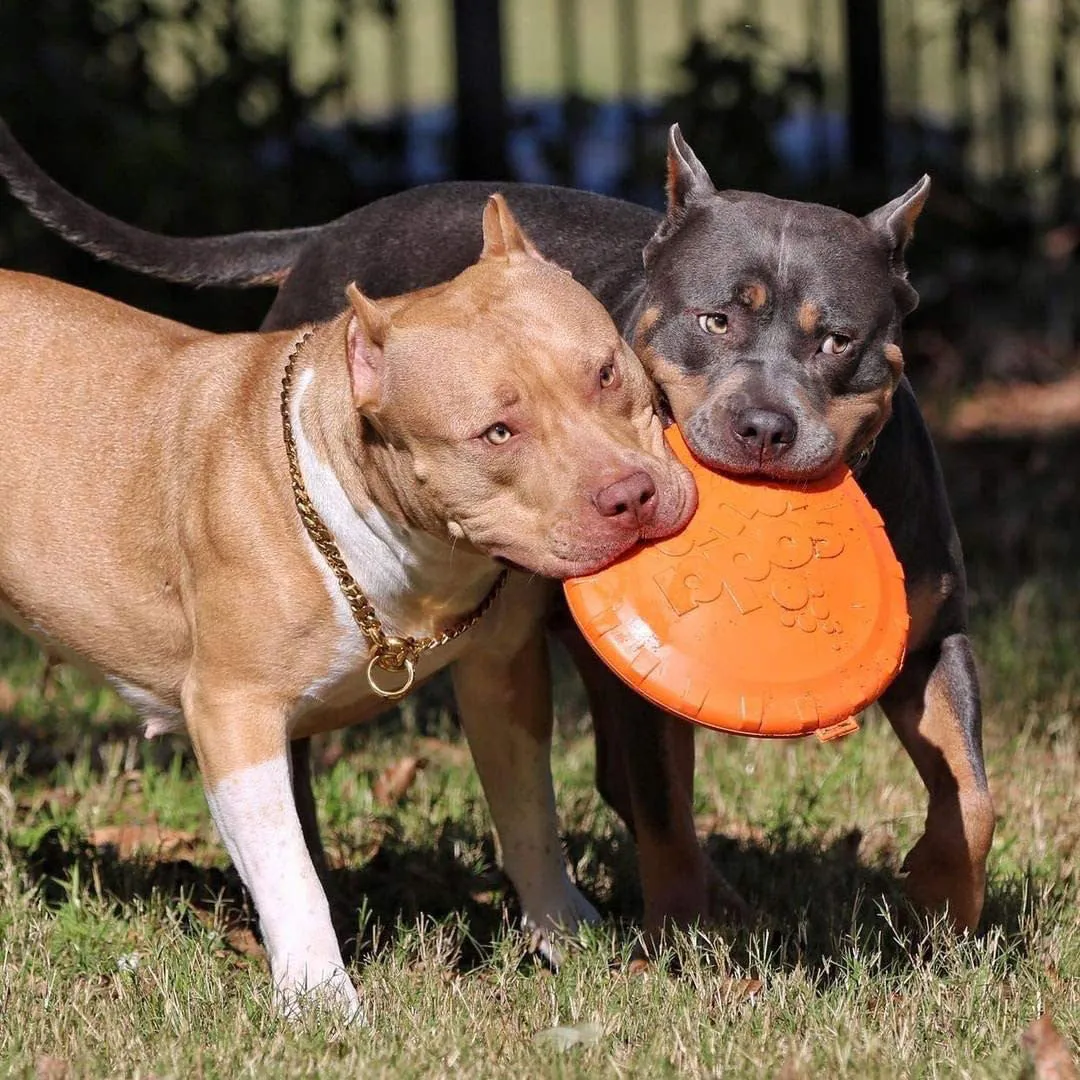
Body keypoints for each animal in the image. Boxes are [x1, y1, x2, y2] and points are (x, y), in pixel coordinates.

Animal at [0, 196, 695, 1019]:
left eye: (606, 372)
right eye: (496, 432)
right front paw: (319, 998)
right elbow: (287, 866)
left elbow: (529, 812)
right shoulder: (234, 710)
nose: (631, 495)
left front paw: (565, 933)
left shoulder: (503, 673)